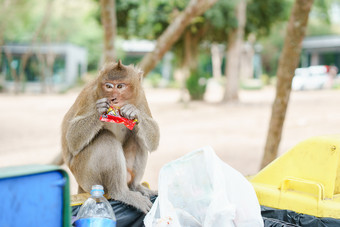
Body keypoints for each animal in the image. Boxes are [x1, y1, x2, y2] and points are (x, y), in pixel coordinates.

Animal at [60, 59, 159, 213]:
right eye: (108, 86)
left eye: (120, 86)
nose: (113, 98)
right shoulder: (90, 95)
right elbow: (72, 139)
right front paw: (99, 111)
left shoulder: (141, 97)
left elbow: (153, 140)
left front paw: (134, 112)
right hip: (85, 175)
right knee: (106, 139)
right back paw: (121, 192)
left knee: (139, 138)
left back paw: (135, 186)